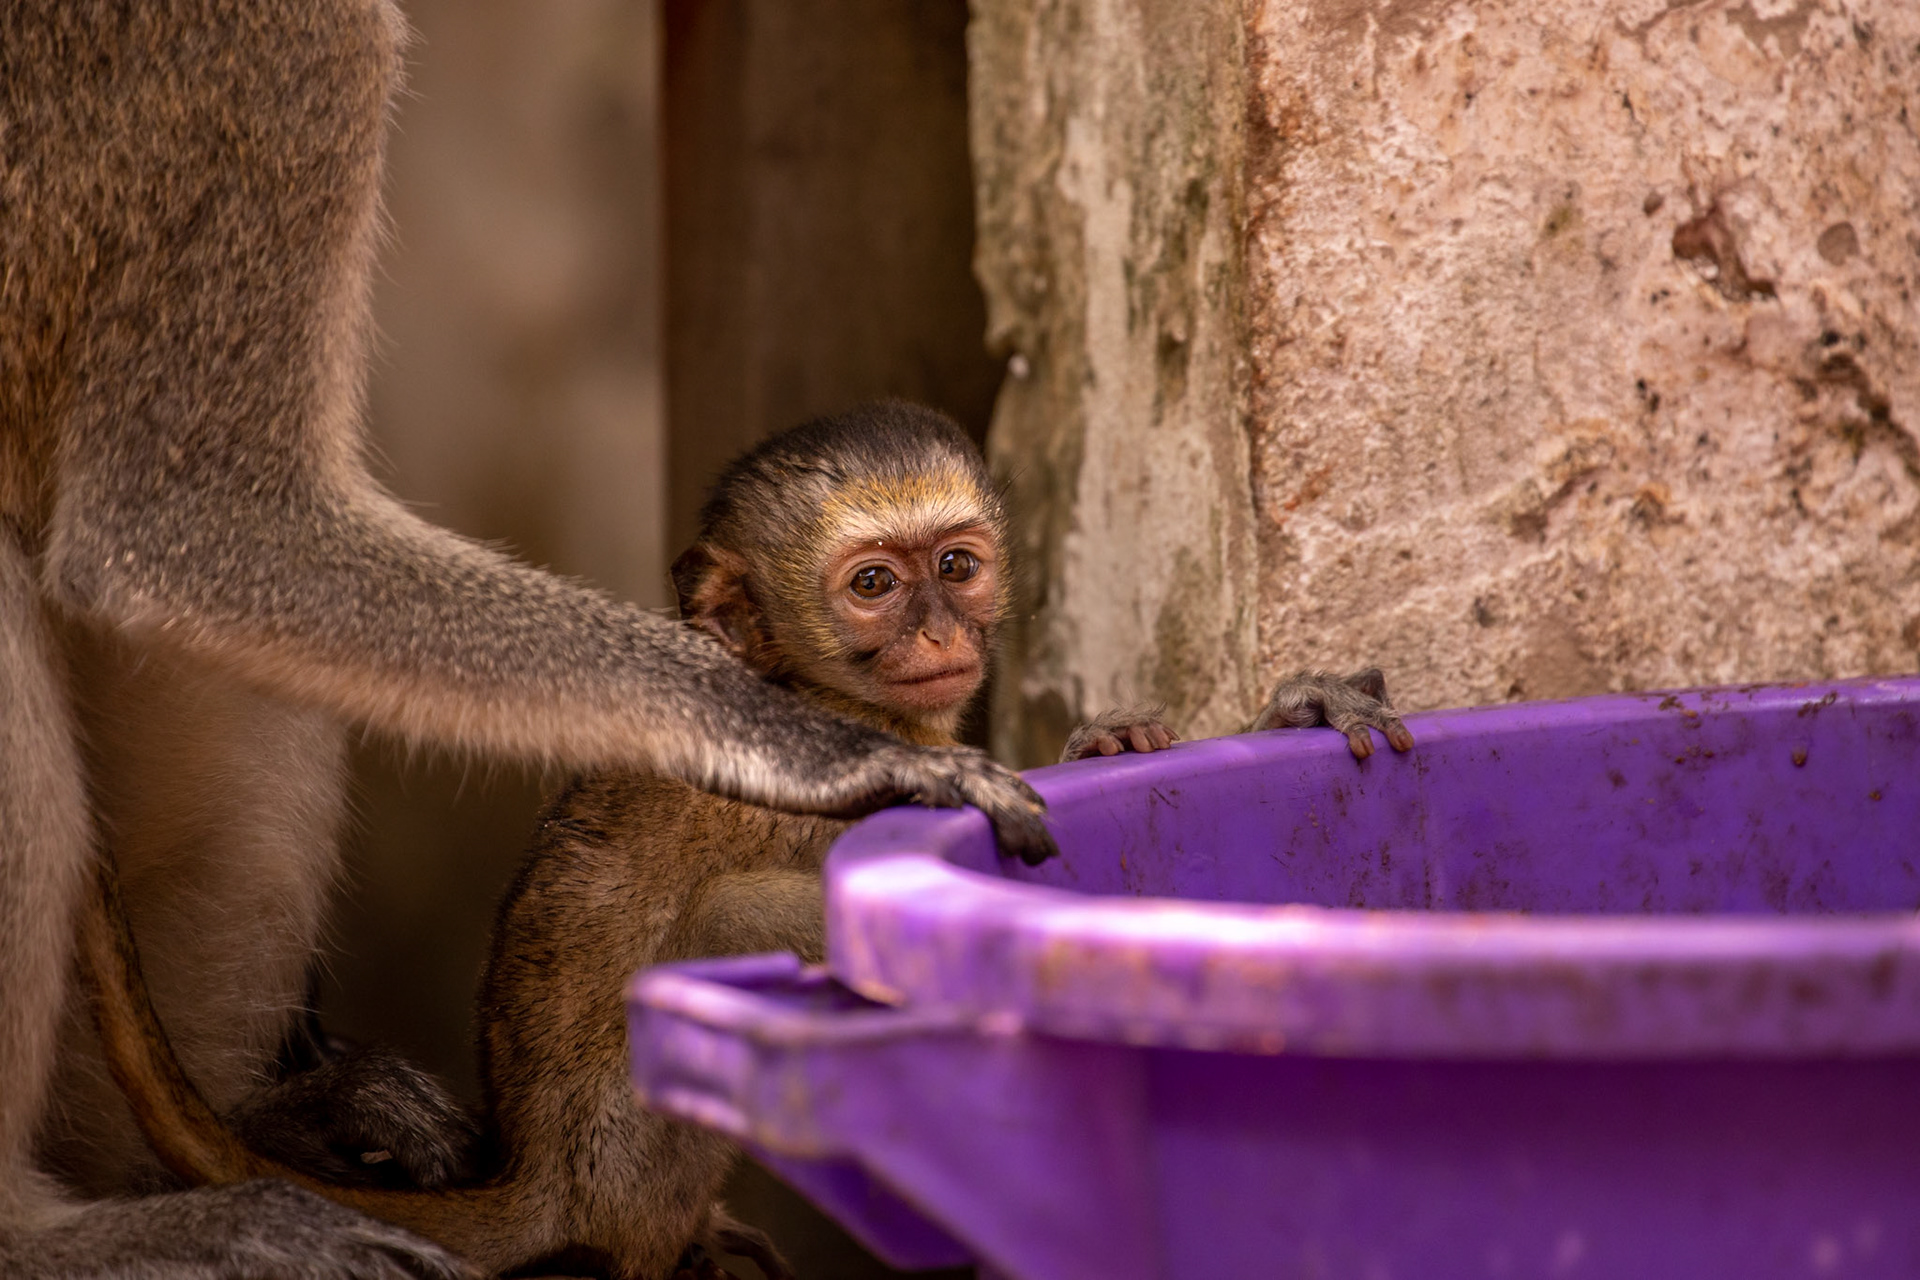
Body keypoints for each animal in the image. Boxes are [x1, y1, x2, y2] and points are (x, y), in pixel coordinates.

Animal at [0, 6, 1056, 1276]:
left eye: (959, 568)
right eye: (873, 587)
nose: (940, 629)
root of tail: (545, 1179)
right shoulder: (292, 52)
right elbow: (176, 530)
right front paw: (801, 745)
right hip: (631, 1145)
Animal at [78, 402, 1413, 1279]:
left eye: (958, 565)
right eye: (875, 586)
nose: (939, 631)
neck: (815, 684)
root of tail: (548, 1176)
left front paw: (1171, 732)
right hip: (639, 1147)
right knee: (735, 923)